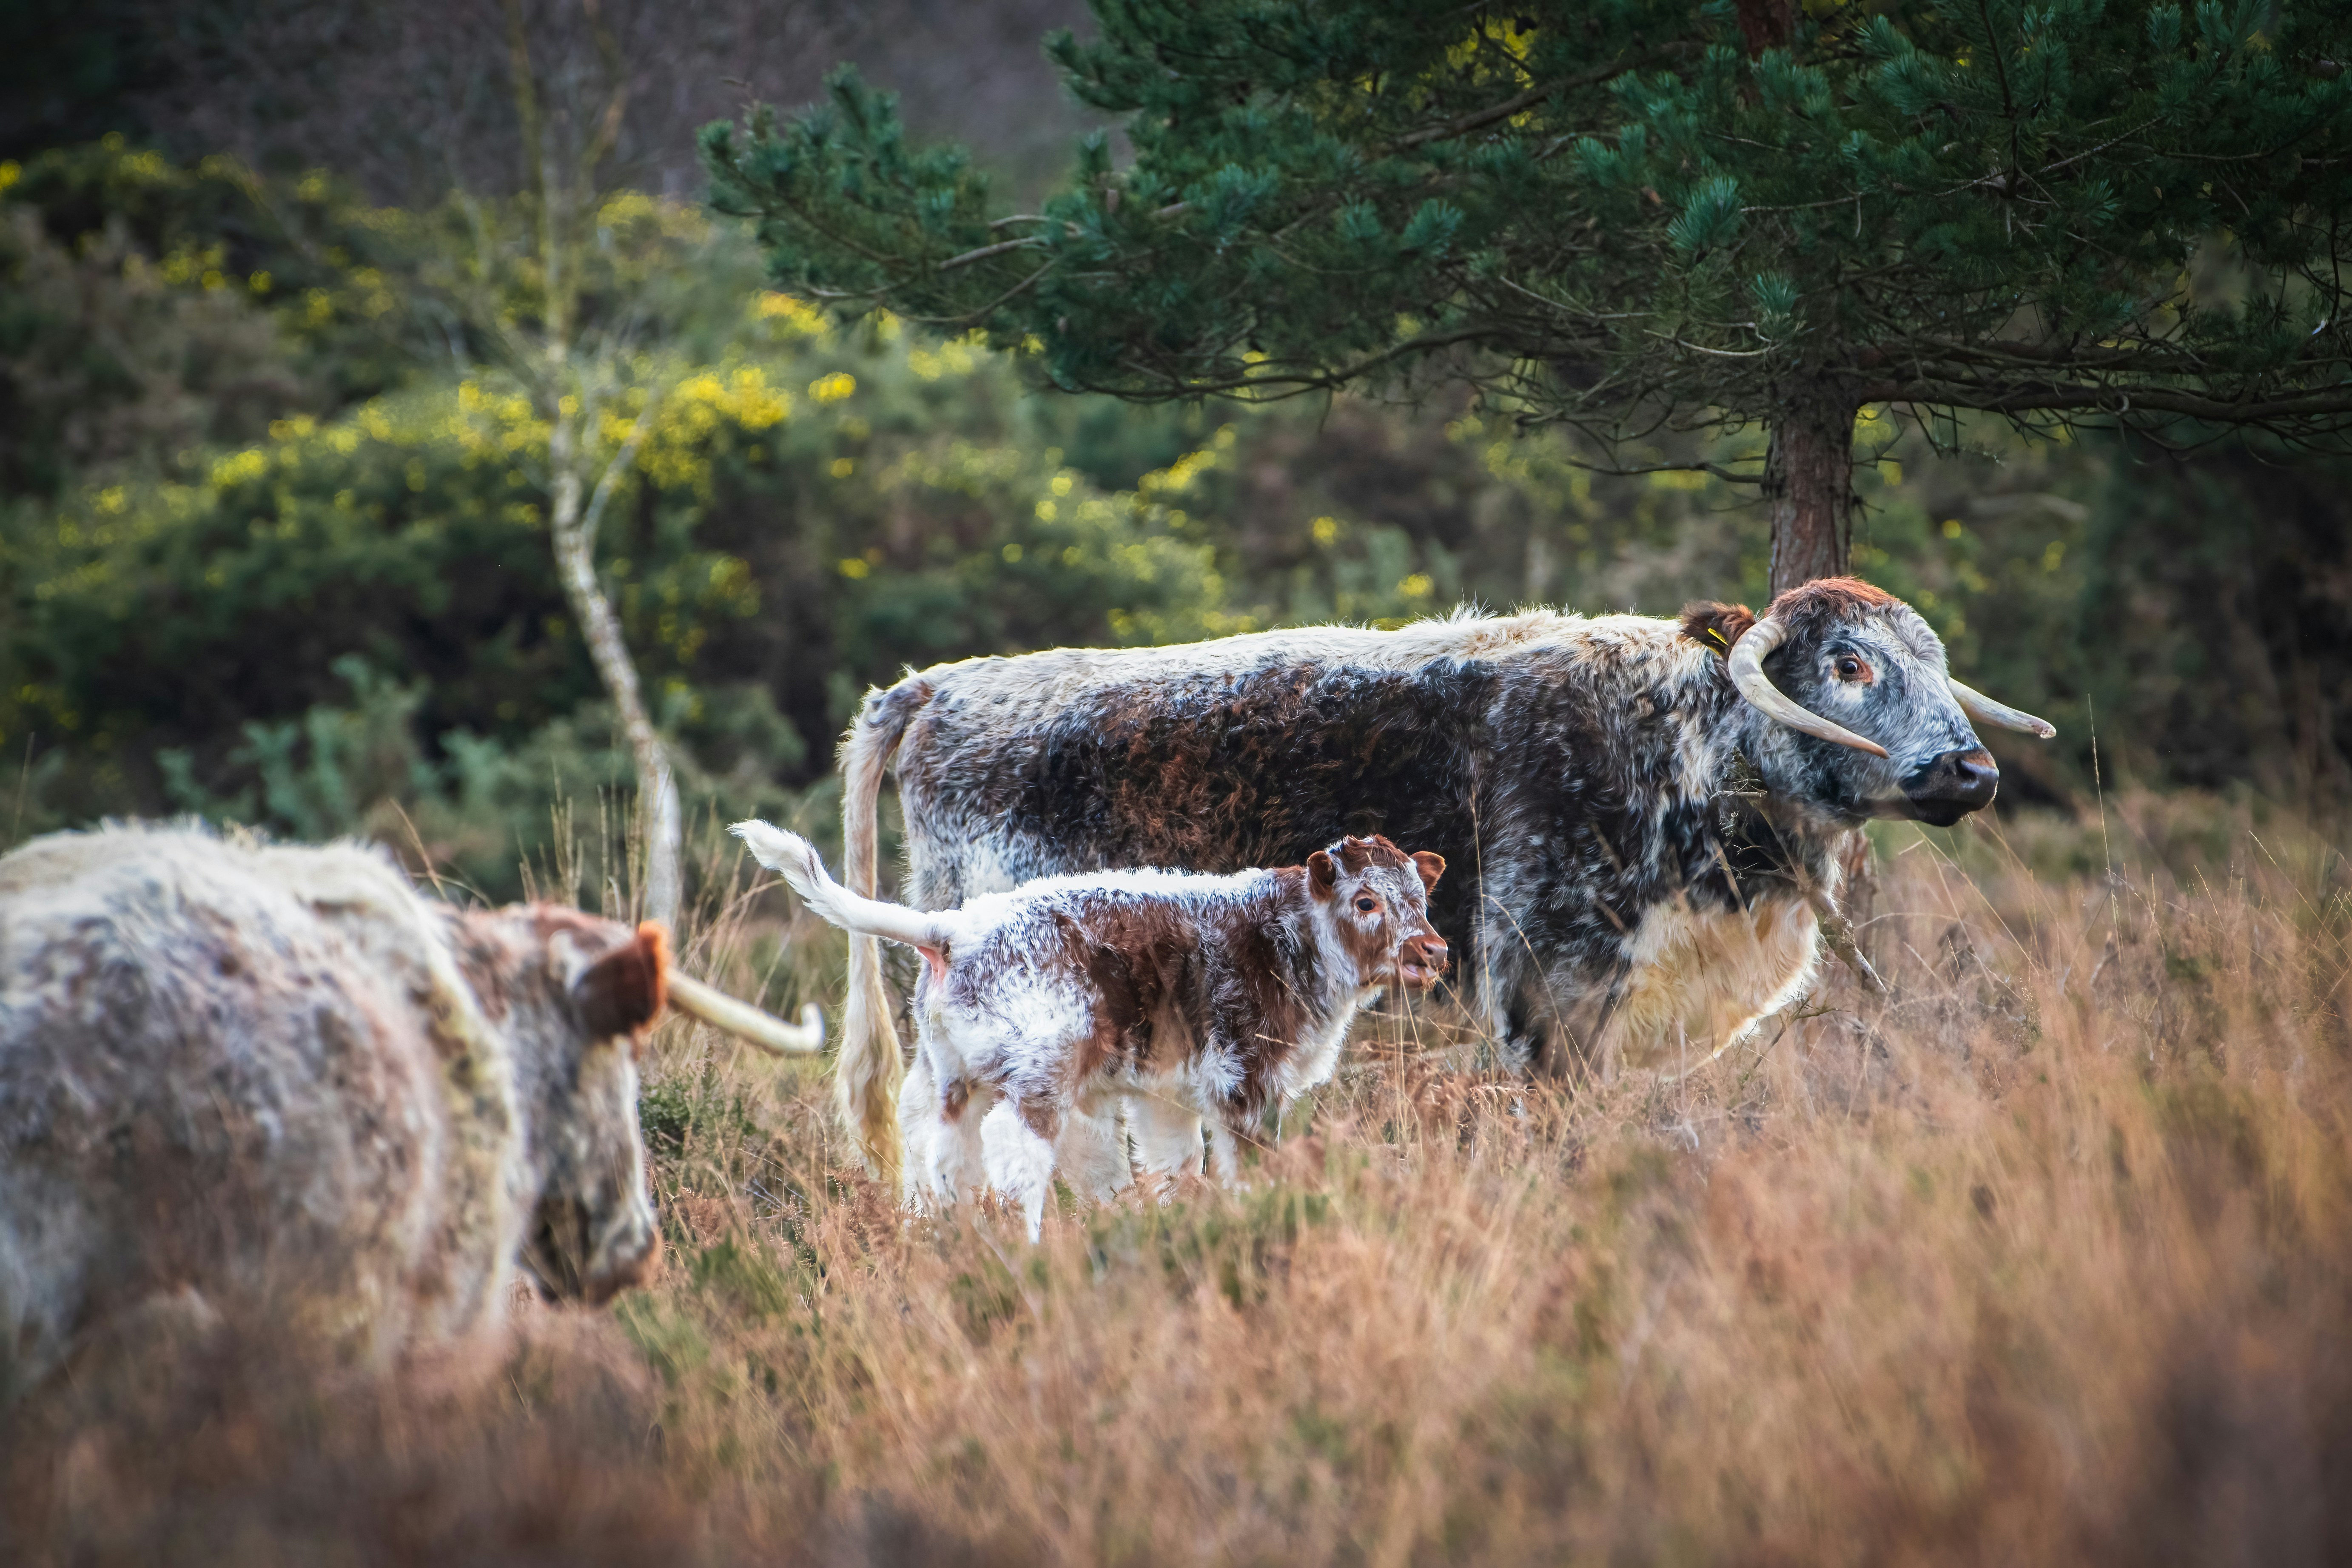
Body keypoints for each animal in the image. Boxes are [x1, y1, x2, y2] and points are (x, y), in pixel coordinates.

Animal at [732, 819, 1446, 1235]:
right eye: (1366, 900)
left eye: (1421, 898)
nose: (1430, 951)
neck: (1285, 935)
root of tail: (954, 928)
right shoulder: (1243, 1080)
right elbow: (1245, 1162)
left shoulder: (1167, 1093)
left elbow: (1174, 1165)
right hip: (1038, 1078)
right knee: (1012, 1155)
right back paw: (1028, 1249)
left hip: (947, 1079)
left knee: (940, 1157)